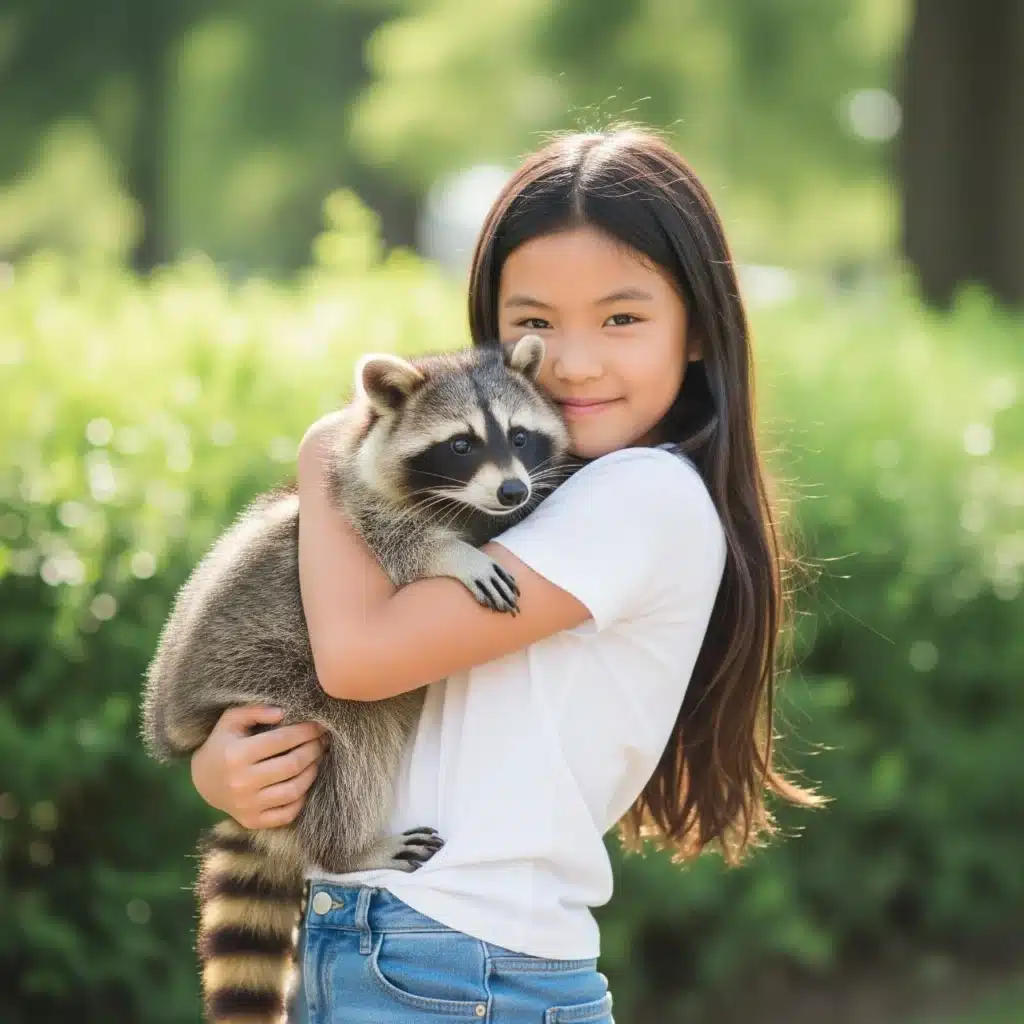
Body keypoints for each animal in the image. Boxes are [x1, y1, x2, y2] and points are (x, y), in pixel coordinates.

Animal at [140, 334, 572, 1024]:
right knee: (359, 725)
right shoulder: (353, 501)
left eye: (520, 435)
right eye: (461, 444)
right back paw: (349, 847)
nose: (511, 490)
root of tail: (178, 720)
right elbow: (398, 540)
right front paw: (451, 553)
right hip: (270, 675)